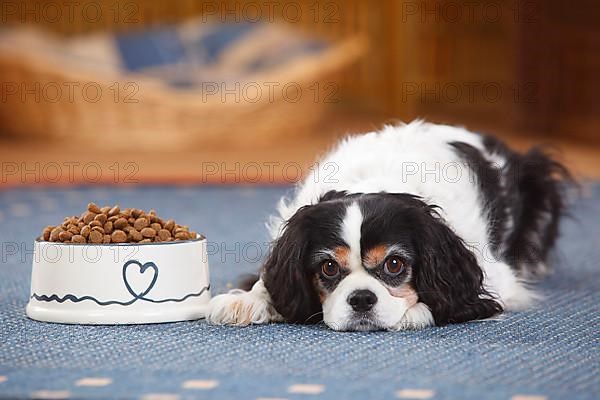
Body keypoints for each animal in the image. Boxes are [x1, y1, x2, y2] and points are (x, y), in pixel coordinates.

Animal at [209, 122, 568, 332]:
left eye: (394, 264)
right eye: (328, 268)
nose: (362, 299)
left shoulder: (495, 275)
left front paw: (415, 312)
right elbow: (267, 281)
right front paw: (247, 300)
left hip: (540, 180)